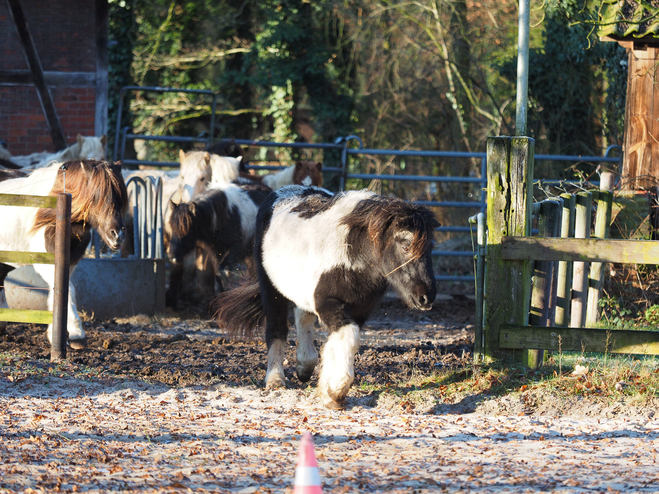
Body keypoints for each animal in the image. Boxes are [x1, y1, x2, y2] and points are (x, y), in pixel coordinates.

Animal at [0, 160, 128, 346]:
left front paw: (55, 333)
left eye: (120, 198)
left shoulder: (70, 262)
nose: (117, 235)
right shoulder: (46, 262)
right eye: (96, 197)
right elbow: (67, 290)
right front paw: (76, 334)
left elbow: (61, 289)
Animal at [214, 185, 440, 410]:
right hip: (271, 290)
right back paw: (275, 379)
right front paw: (336, 390)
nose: (426, 298)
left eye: (430, 248)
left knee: (302, 315)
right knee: (276, 329)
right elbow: (347, 337)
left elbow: (340, 341)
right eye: (405, 246)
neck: (351, 254)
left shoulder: (359, 309)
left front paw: (329, 390)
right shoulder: (328, 304)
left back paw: (304, 366)